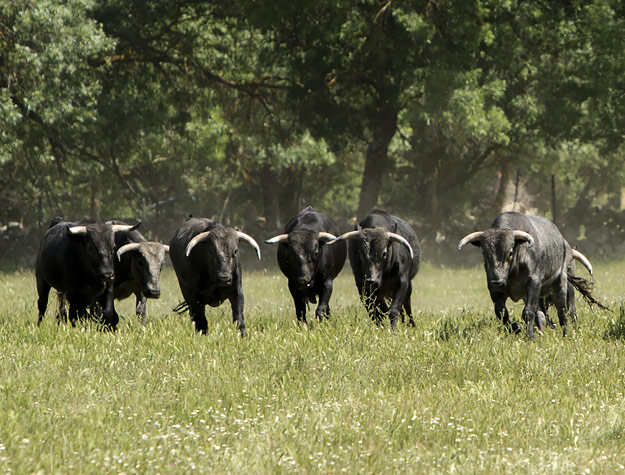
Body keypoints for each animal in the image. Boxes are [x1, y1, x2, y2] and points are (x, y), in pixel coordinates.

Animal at [456, 212, 604, 338]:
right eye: (484, 254)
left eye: (510, 252)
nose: (497, 282)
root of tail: (565, 245)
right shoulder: (495, 290)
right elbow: (502, 313)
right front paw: (517, 327)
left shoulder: (533, 283)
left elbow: (528, 312)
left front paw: (530, 336)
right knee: (542, 314)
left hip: (561, 283)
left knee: (564, 311)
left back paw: (565, 333)